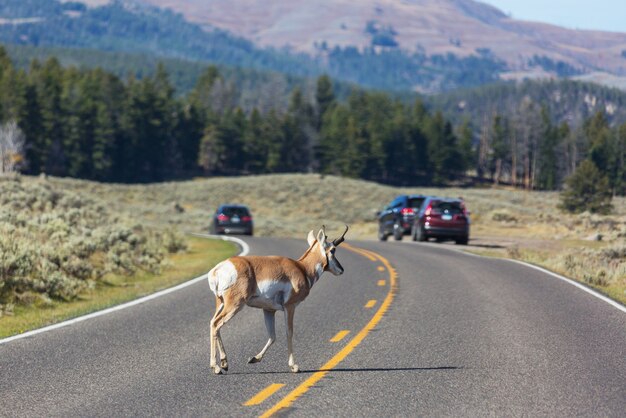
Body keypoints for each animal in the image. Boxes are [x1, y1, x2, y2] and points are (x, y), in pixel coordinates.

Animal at [208, 225, 346, 376]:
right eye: (332, 249)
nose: (341, 270)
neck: (302, 268)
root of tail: (219, 268)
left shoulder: (268, 310)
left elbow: (272, 336)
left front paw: (254, 358)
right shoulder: (290, 307)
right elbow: (289, 332)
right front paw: (294, 366)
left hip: (221, 303)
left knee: (213, 323)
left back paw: (224, 363)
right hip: (234, 305)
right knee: (216, 324)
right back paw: (215, 367)